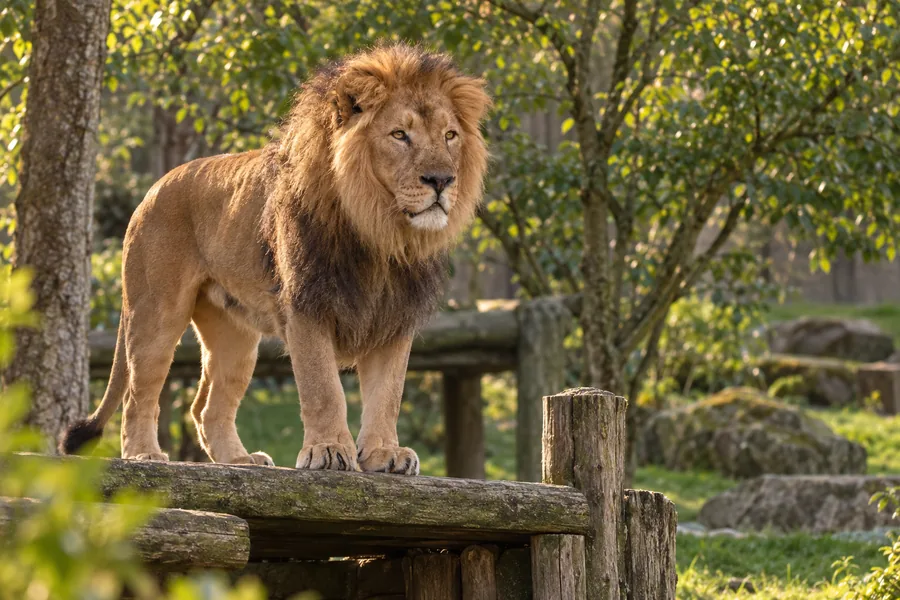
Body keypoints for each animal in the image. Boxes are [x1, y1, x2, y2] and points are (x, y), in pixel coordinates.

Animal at [60, 44, 491, 475]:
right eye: (400, 135)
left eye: (450, 136)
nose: (442, 180)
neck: (382, 236)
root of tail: (152, 189)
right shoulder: (307, 304)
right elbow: (323, 388)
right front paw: (329, 450)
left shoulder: (395, 316)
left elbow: (387, 395)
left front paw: (385, 454)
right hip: (155, 314)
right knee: (139, 393)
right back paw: (143, 454)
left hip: (235, 335)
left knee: (207, 407)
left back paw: (239, 459)